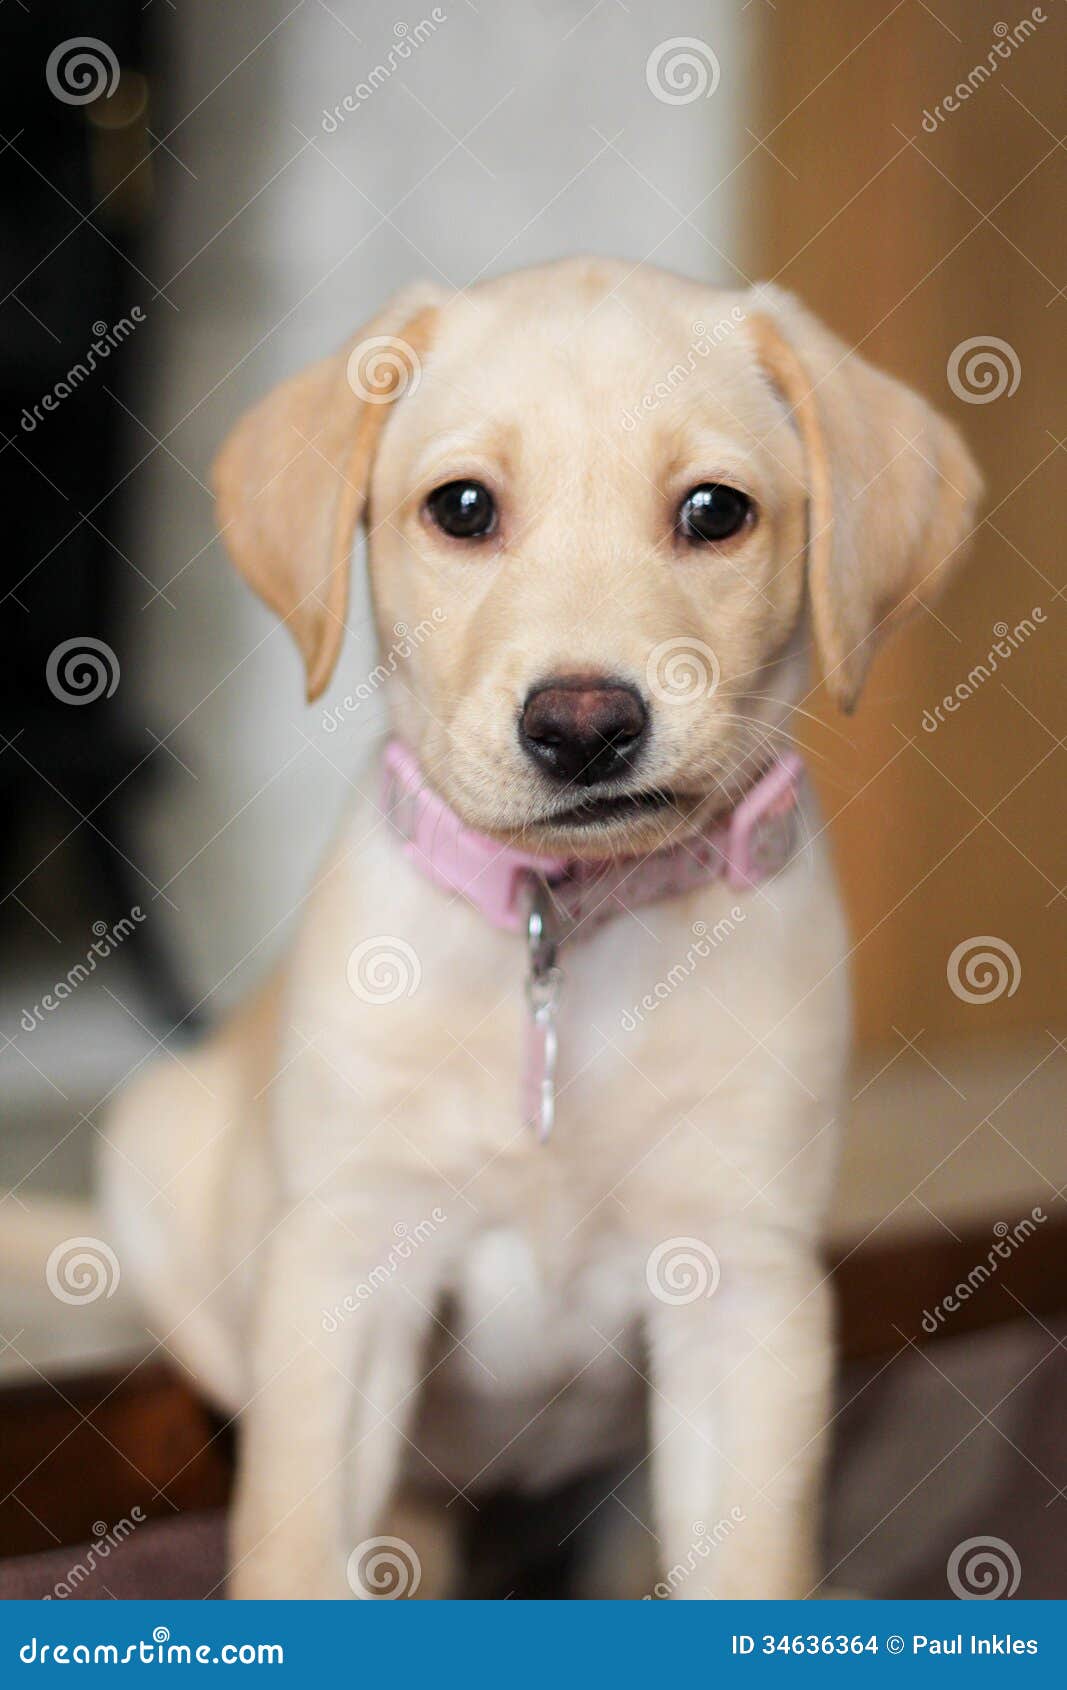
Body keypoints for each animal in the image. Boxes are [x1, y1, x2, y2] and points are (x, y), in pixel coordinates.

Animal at [104, 260, 980, 1595]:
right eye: (461, 508)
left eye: (714, 512)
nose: (582, 726)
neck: (562, 929)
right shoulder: (345, 1265)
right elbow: (296, 1544)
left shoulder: (743, 1290)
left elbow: (748, 1570)